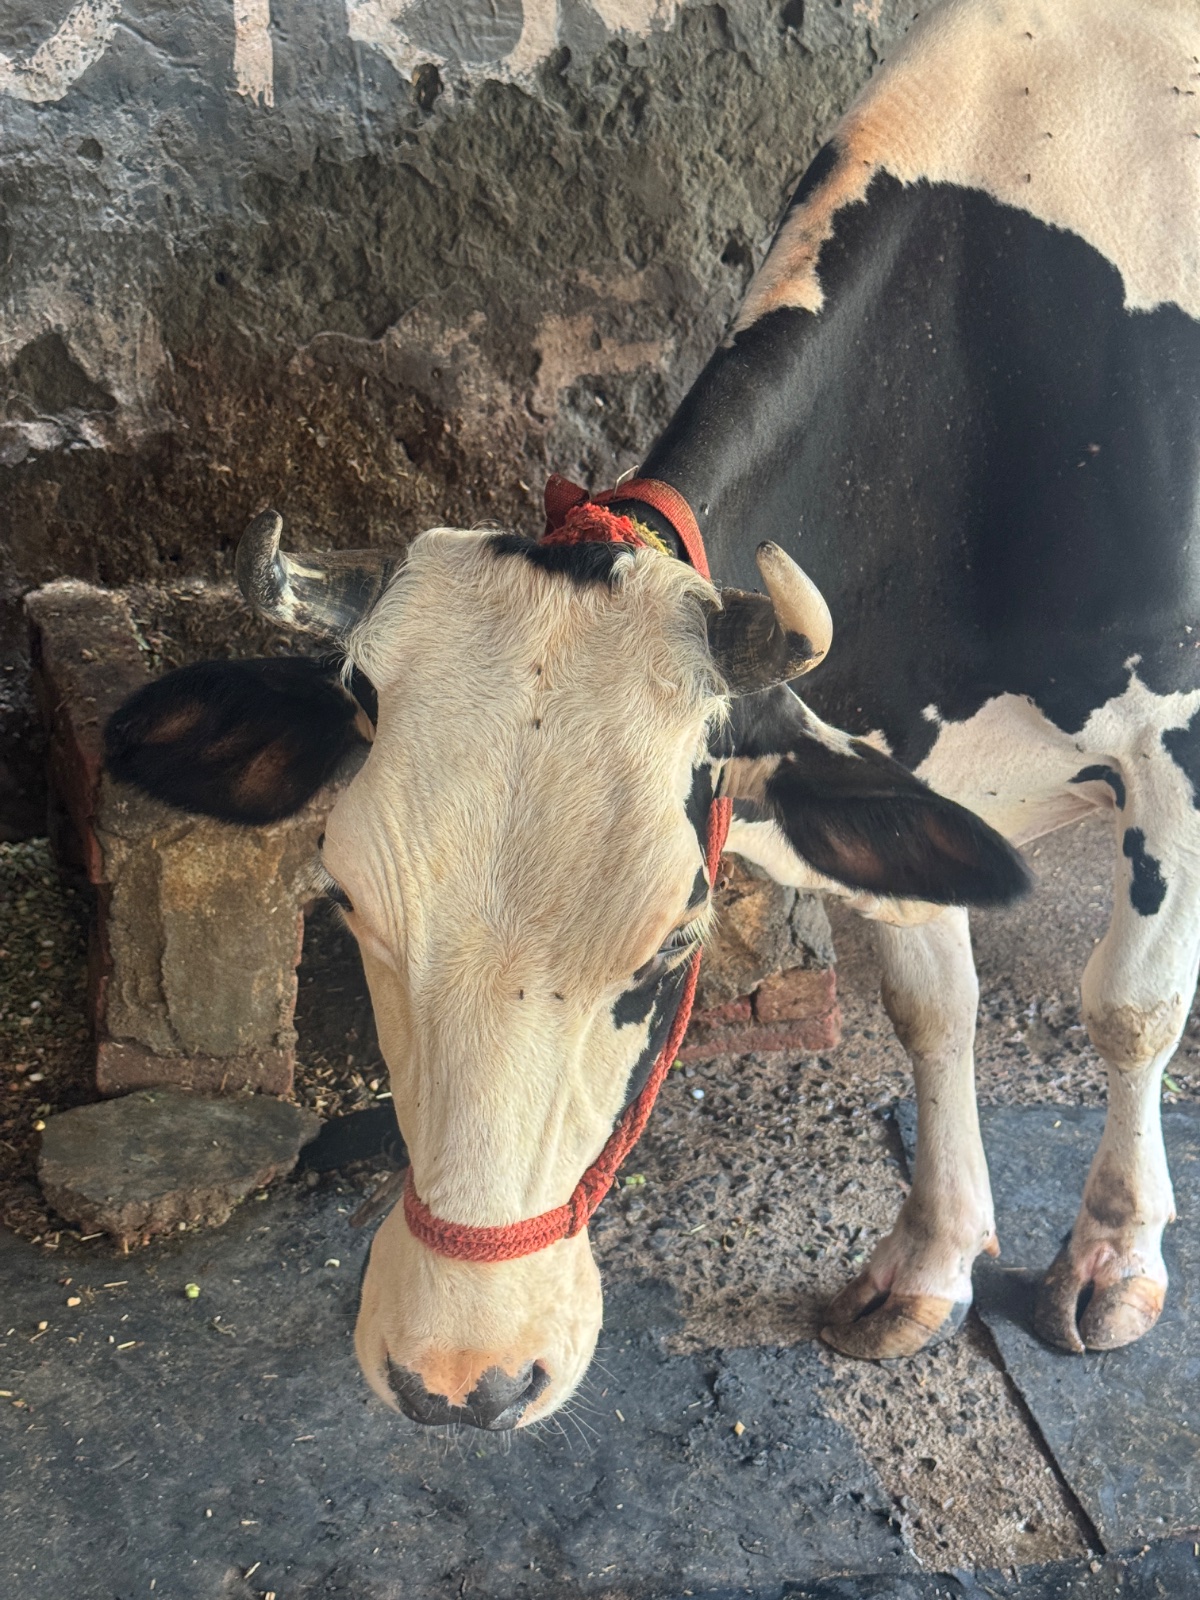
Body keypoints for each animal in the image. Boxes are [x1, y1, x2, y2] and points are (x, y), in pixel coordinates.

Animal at [104, 0, 1200, 1429]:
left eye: (674, 944)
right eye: (343, 909)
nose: (458, 1376)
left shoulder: (1172, 742)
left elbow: (1131, 1007)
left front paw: (1114, 1262)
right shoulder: (890, 758)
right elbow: (931, 1007)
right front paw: (927, 1263)